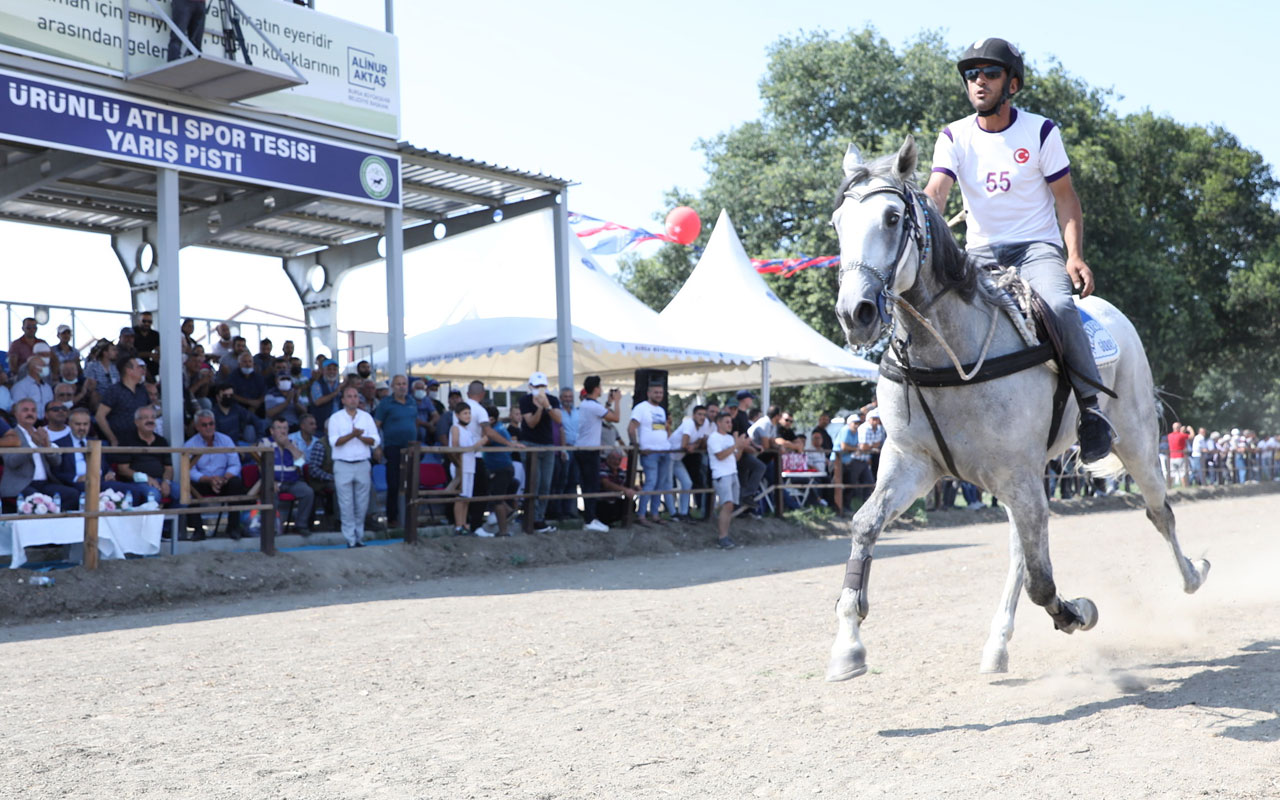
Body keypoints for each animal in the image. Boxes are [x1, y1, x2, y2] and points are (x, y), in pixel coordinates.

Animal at [824, 136, 1203, 680]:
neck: (948, 353)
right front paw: (848, 646)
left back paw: (1193, 574)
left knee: (1158, 511)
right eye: (838, 223)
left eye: (893, 218)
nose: (855, 313)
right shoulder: (912, 462)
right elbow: (864, 524)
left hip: (1135, 443)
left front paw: (1078, 612)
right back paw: (997, 644)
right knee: (1021, 552)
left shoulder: (1017, 475)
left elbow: (1044, 583)